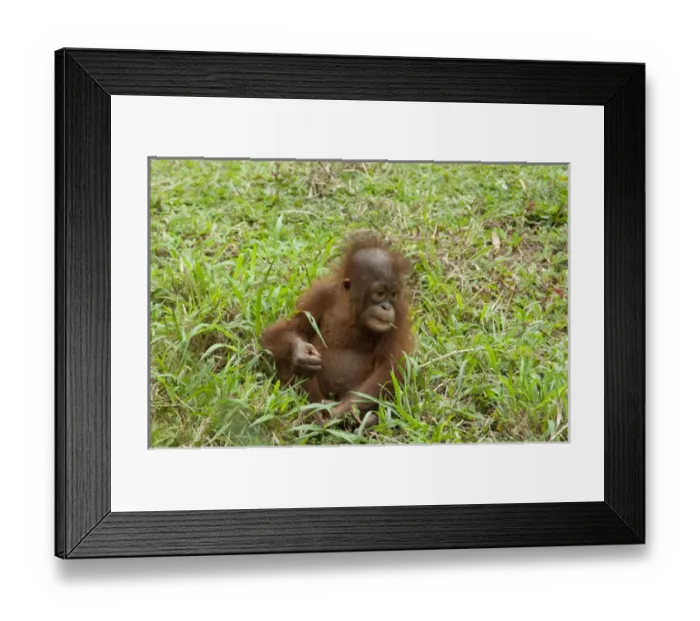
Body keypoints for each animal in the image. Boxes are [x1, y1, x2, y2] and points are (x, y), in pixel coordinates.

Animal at [260, 232, 413, 427]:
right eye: (380, 293)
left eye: (393, 294)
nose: (387, 307)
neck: (352, 308)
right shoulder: (319, 294)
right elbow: (289, 328)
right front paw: (301, 352)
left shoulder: (399, 313)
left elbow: (390, 366)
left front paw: (341, 412)